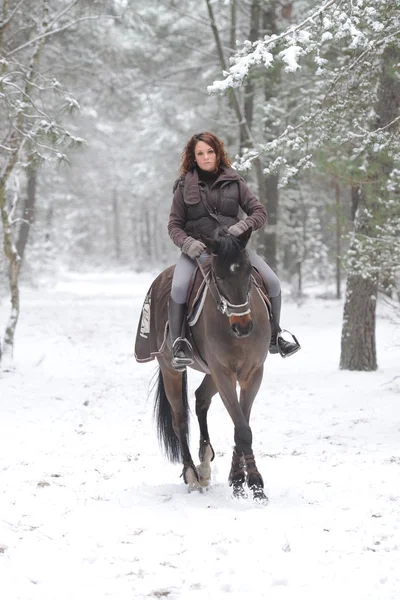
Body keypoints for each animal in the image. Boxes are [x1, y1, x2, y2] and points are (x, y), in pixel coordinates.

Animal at [152, 227, 270, 504]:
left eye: (249, 273)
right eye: (219, 276)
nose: (242, 327)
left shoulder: (251, 374)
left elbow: (242, 424)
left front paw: (239, 481)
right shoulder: (224, 373)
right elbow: (242, 429)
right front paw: (255, 485)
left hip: (211, 374)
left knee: (200, 399)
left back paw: (204, 465)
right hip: (172, 370)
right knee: (180, 419)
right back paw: (192, 475)